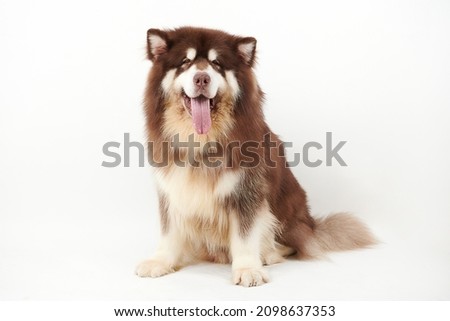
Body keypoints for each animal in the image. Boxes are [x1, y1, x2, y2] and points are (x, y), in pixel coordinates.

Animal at [134, 26, 376, 284]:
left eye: (217, 64)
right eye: (185, 62)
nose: (201, 78)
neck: (201, 142)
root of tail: (310, 225)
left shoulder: (246, 192)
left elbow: (245, 235)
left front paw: (247, 268)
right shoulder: (172, 188)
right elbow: (169, 232)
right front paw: (161, 261)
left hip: (288, 213)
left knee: (294, 243)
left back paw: (269, 253)